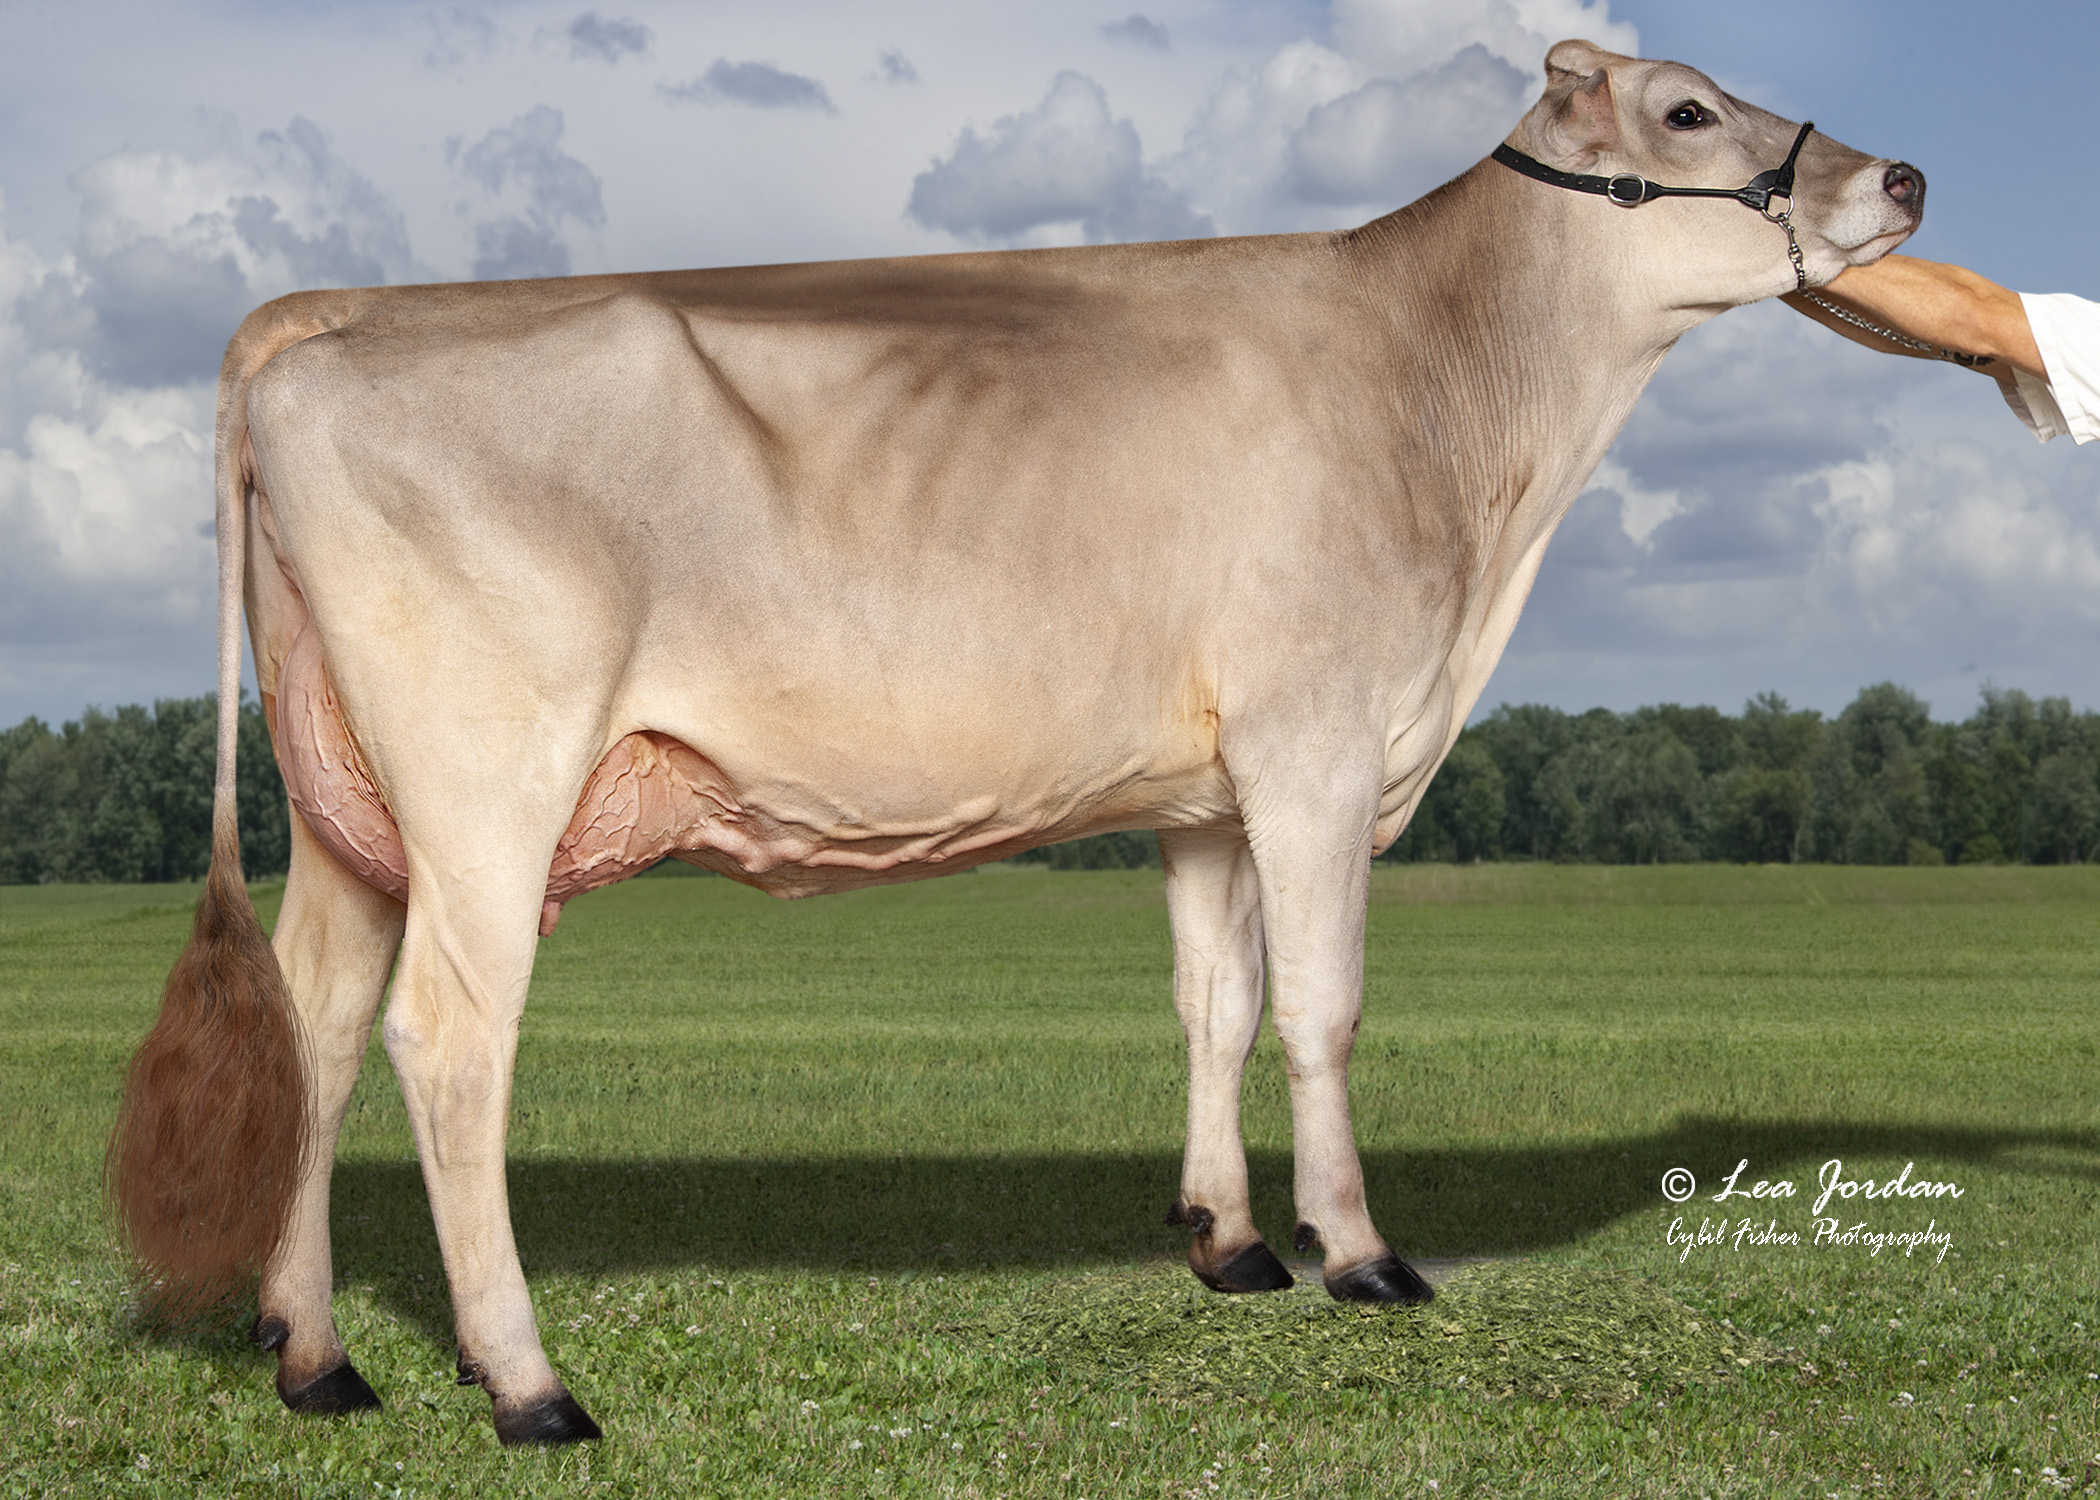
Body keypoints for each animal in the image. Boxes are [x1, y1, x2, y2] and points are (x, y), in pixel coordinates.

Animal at [110, 39, 1923, 1445]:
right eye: (1687, 110)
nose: (1904, 177)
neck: (1456, 419)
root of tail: (326, 314)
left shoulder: (1207, 794)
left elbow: (1216, 1000)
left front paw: (1228, 1241)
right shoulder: (1320, 744)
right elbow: (1323, 1008)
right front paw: (1357, 1252)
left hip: (349, 812)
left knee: (317, 1029)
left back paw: (315, 1355)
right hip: (486, 788)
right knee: (448, 1044)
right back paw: (526, 1382)